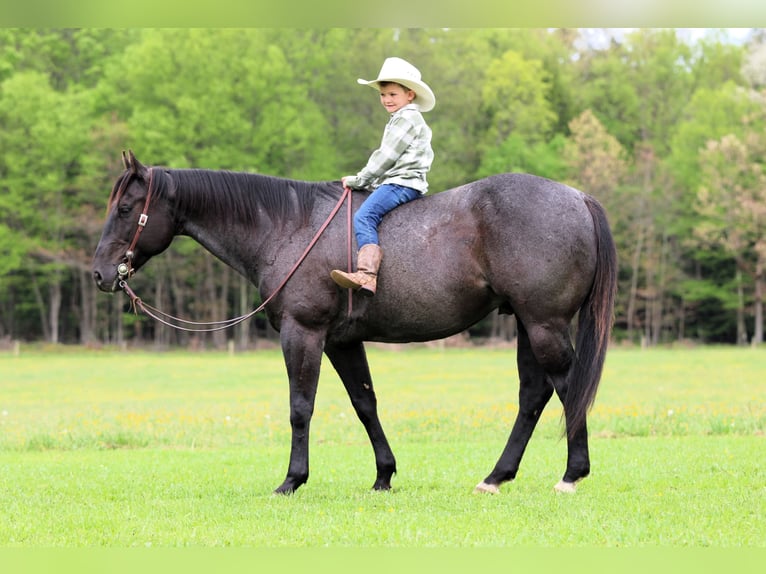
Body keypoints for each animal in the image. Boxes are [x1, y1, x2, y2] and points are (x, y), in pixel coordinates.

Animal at [92, 150, 617, 495]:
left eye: (125, 209)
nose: (100, 273)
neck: (289, 226)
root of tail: (578, 198)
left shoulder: (302, 333)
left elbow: (300, 408)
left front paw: (292, 480)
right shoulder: (341, 342)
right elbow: (365, 404)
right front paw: (384, 475)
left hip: (544, 324)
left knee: (566, 387)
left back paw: (572, 474)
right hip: (528, 324)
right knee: (534, 395)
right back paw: (496, 476)